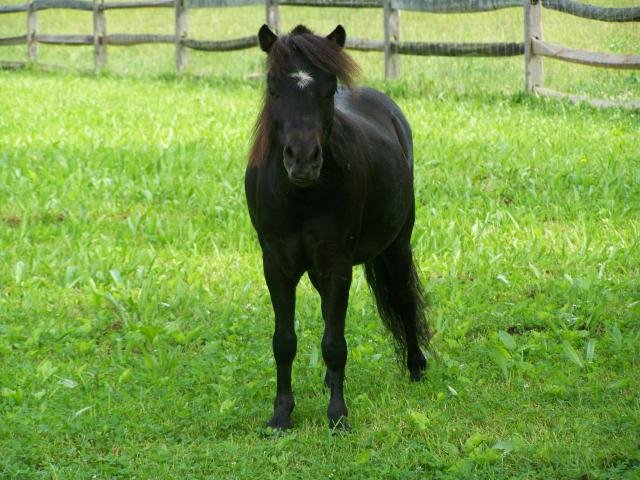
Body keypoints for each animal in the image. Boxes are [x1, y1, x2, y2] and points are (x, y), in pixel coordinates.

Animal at [245, 23, 430, 432]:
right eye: (273, 88)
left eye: (328, 89)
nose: (302, 159)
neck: (302, 196)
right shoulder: (276, 265)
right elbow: (284, 341)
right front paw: (281, 414)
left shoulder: (338, 265)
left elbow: (334, 342)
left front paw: (338, 415)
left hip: (397, 245)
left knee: (403, 299)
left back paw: (416, 367)